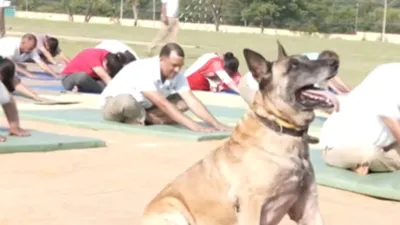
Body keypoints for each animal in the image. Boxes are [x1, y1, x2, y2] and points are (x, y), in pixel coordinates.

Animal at [139, 41, 340, 225]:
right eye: (294, 66)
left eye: (307, 59)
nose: (334, 61)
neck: (279, 126)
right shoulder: (251, 205)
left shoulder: (309, 207)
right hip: (174, 213)